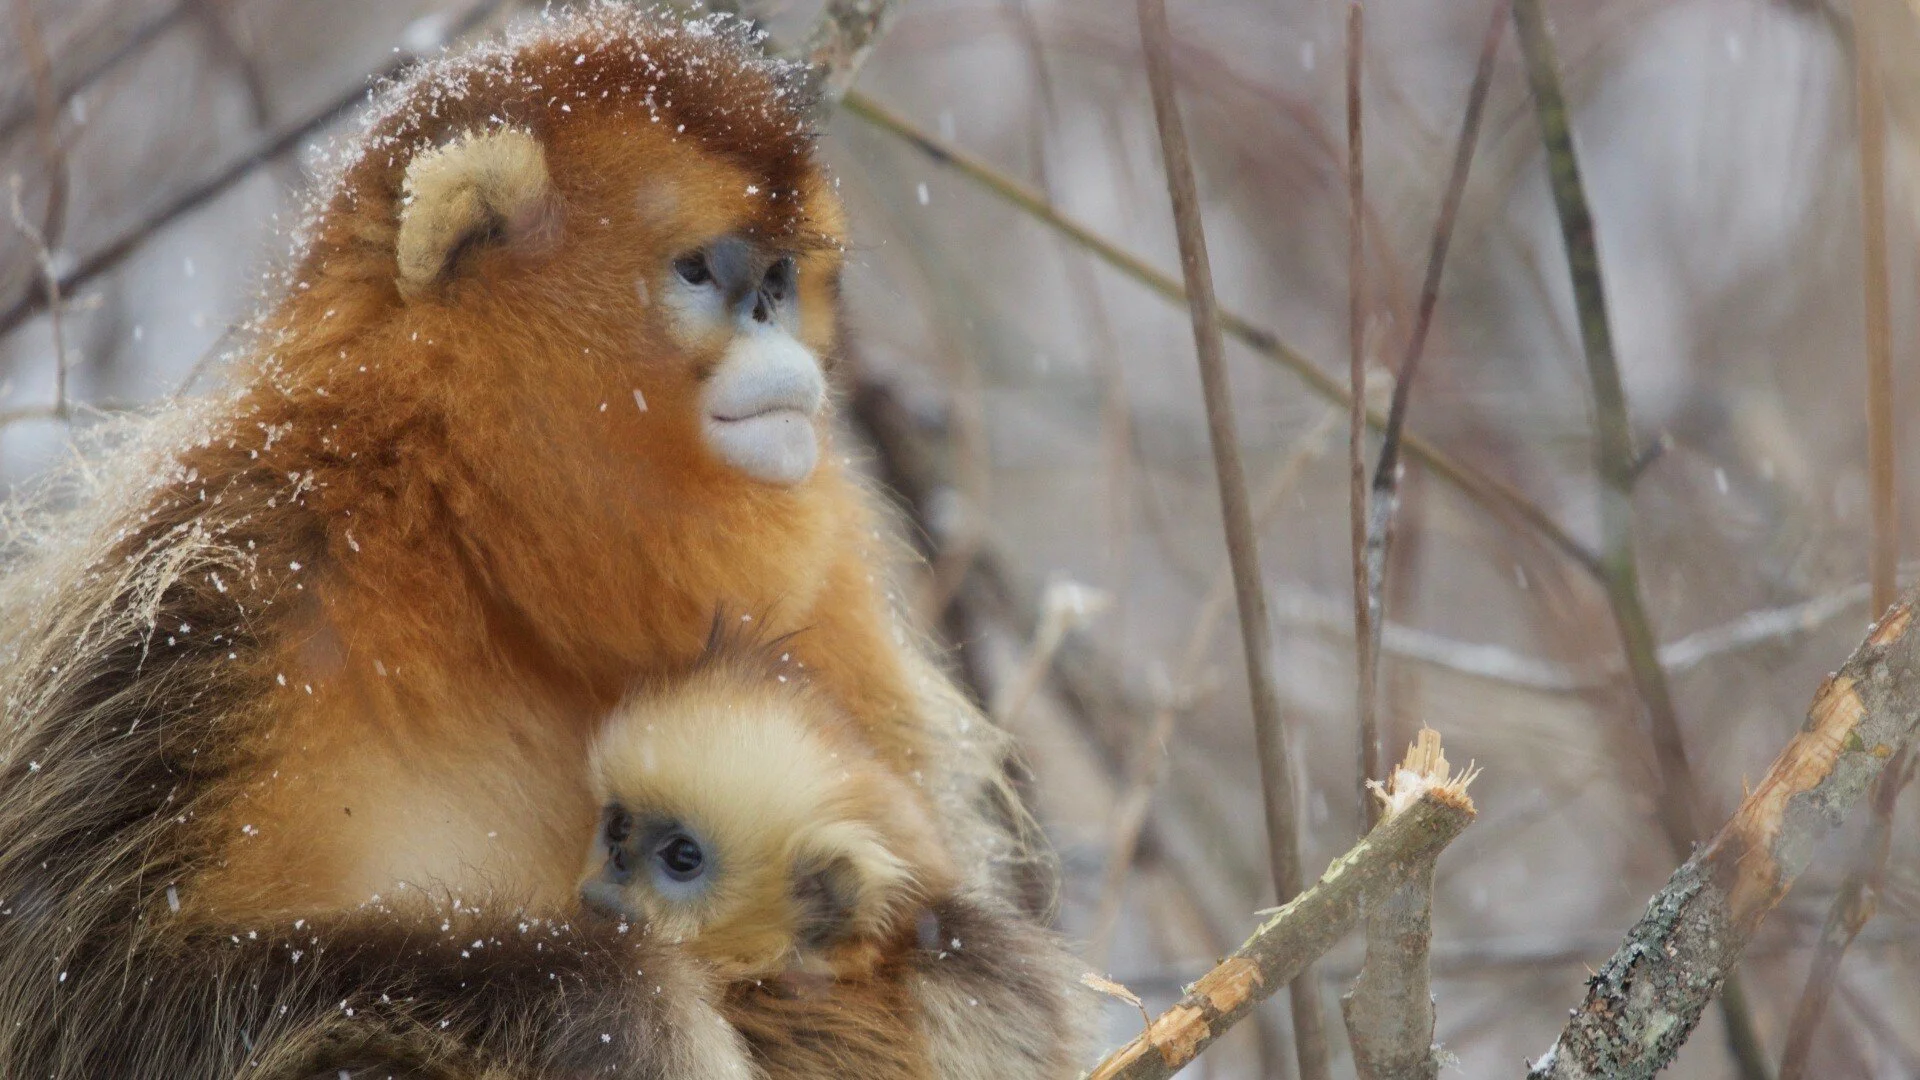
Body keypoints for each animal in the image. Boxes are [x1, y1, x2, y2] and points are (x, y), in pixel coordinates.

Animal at [0, 5, 1090, 1078]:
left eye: (780, 280)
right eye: (701, 271)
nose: (778, 334)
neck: (469, 541)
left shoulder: (834, 622)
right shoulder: (222, 586)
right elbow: (94, 1001)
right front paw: (630, 1011)